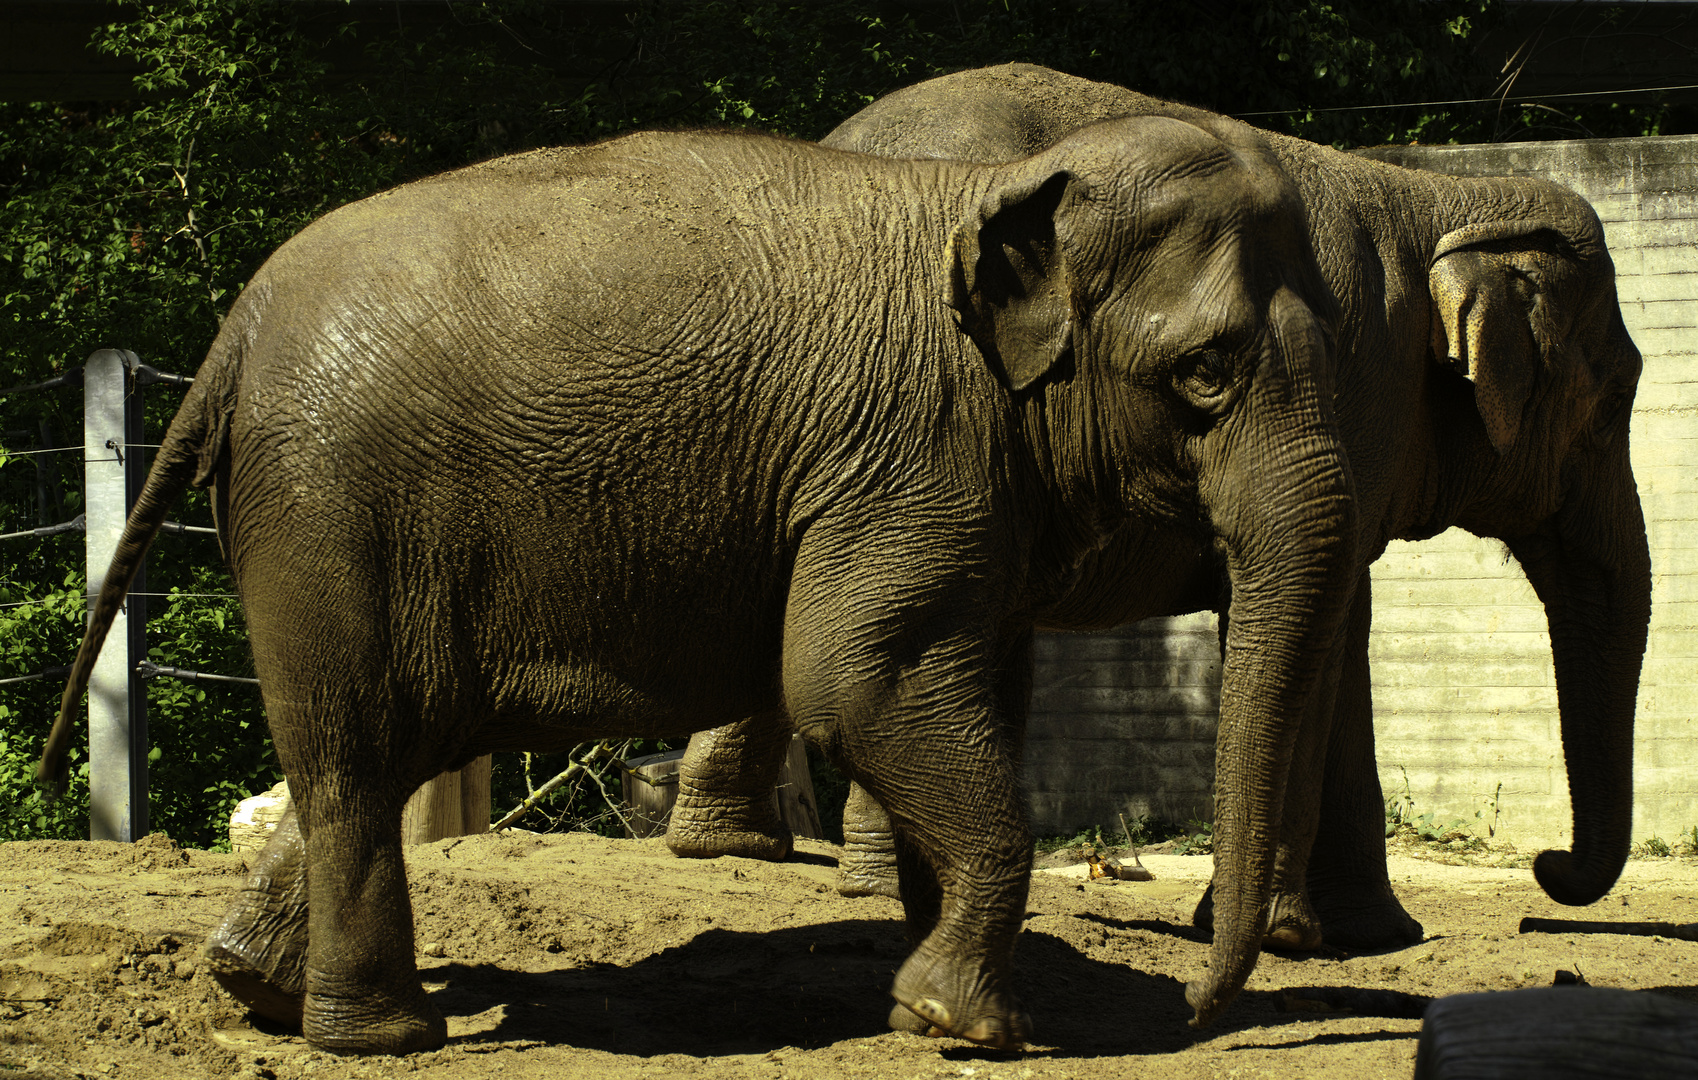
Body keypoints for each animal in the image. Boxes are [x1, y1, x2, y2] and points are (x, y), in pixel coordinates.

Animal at [46, 113, 1358, 1052]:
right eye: (1205, 374)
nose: (1194, 1009)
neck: (997, 187)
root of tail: (235, 329)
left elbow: (949, 689)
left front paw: (926, 996)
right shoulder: (912, 460)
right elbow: (854, 683)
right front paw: (965, 1026)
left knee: (372, 754)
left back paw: (255, 991)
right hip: (331, 515)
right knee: (362, 759)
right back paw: (383, 1038)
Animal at [669, 63, 1650, 950]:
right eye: (1612, 404)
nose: (1548, 875)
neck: (1445, 198)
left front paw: (1362, 933)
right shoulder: (1355, 395)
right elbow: (1327, 621)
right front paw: (1308, 936)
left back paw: (735, 850)